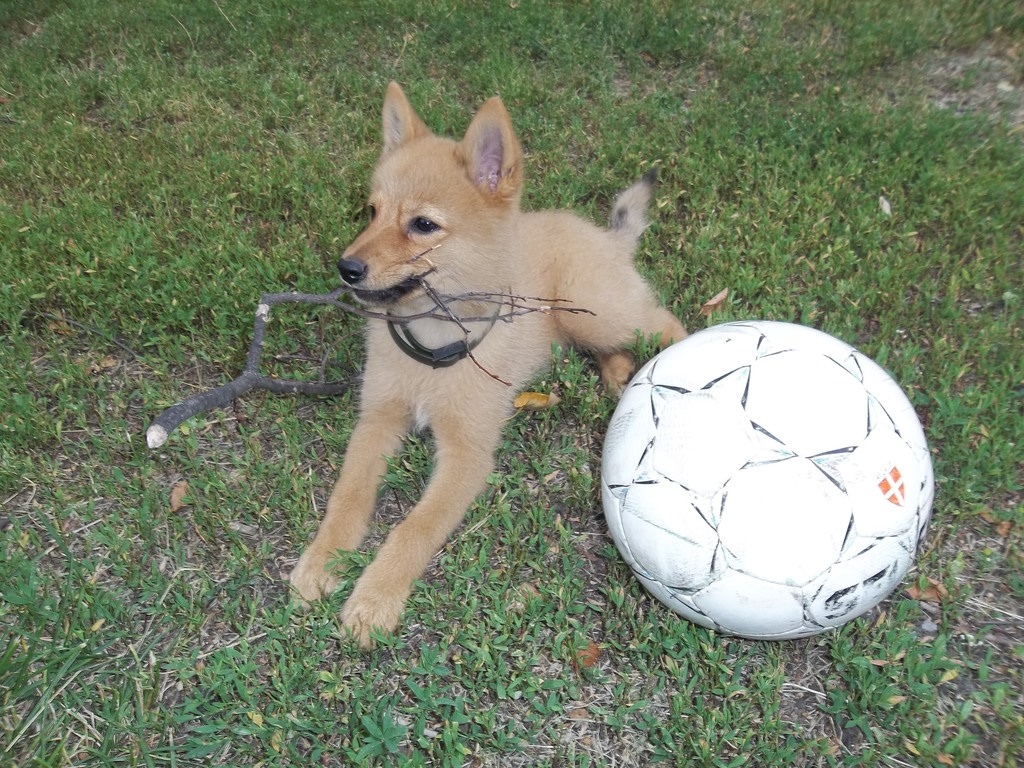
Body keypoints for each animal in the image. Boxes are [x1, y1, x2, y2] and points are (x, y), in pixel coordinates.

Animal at [289, 82, 687, 647]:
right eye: (370, 211)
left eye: (423, 225)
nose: (346, 269)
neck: (432, 349)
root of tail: (605, 238)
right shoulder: (376, 420)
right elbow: (347, 496)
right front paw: (323, 560)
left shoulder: (467, 456)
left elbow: (413, 528)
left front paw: (374, 597)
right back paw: (617, 376)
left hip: (600, 312)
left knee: (662, 319)